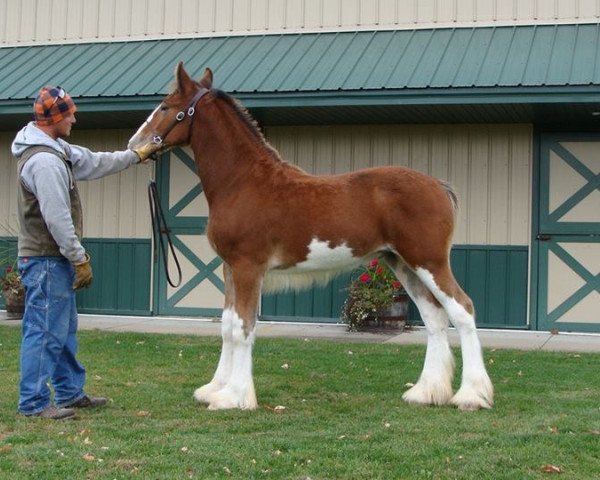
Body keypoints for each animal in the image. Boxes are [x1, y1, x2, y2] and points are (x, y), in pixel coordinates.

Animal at [129, 62, 494, 410]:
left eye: (165, 106)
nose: (135, 144)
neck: (244, 182)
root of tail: (439, 185)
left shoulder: (248, 267)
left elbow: (243, 328)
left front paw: (234, 397)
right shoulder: (230, 268)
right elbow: (227, 326)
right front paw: (213, 389)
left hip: (428, 261)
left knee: (462, 310)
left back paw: (471, 396)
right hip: (402, 263)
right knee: (434, 317)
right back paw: (425, 392)